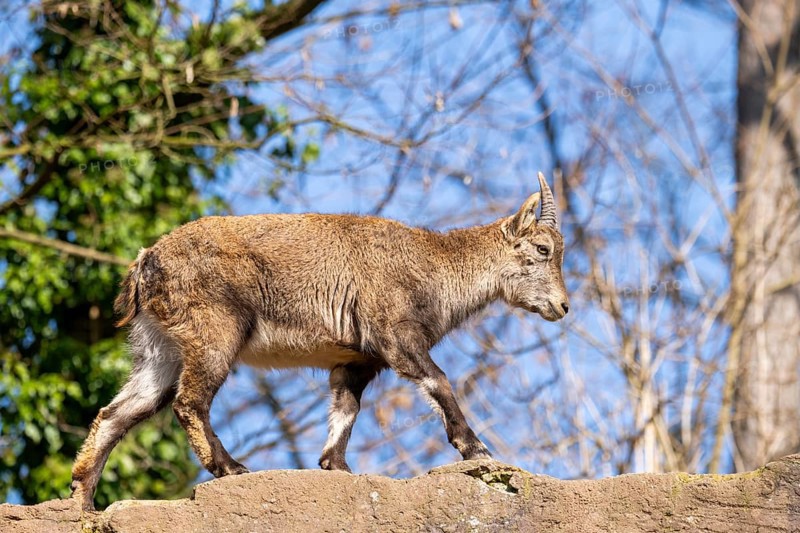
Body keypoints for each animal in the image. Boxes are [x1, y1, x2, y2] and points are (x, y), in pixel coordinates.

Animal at [71, 172, 569, 510]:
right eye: (543, 249)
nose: (563, 306)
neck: (435, 268)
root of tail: (145, 262)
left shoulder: (357, 360)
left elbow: (346, 408)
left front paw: (336, 466)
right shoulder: (394, 336)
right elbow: (439, 381)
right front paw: (477, 449)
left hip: (160, 348)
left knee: (118, 413)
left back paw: (83, 499)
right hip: (214, 332)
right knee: (189, 402)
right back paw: (230, 468)